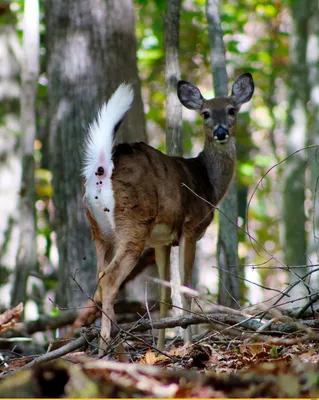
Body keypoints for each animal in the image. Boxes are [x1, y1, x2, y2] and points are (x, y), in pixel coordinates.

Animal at [82, 72, 255, 354]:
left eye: (231, 109)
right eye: (205, 113)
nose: (220, 132)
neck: (207, 183)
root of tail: (102, 169)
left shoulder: (161, 241)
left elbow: (164, 295)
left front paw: (160, 348)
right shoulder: (191, 228)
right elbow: (185, 289)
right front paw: (188, 343)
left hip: (99, 231)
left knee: (99, 279)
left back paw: (112, 346)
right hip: (134, 223)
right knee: (109, 280)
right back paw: (108, 349)